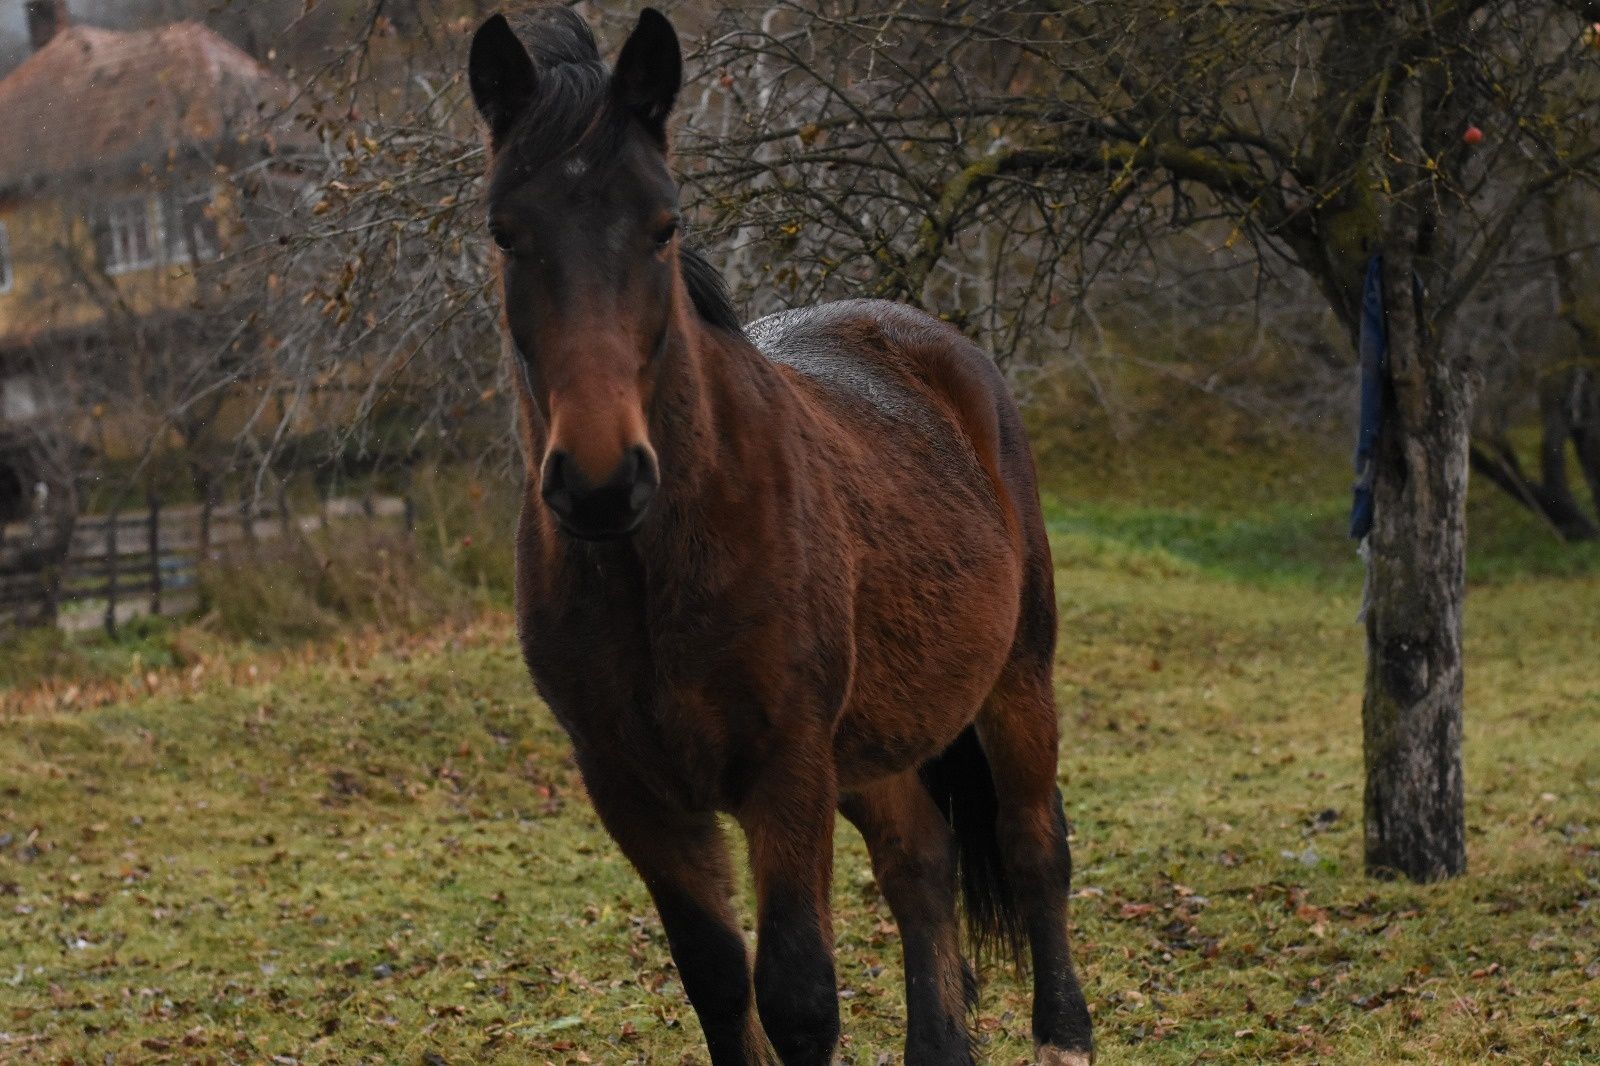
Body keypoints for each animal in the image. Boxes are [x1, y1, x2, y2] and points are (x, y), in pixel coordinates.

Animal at [467, 8, 1094, 1062]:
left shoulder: (787, 767)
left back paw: (1065, 1034)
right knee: (922, 865)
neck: (661, 567)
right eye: (506, 232)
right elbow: (720, 983)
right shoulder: (631, 789)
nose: (600, 482)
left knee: (1033, 845)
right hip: (874, 744)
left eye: (665, 225)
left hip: (1016, 680)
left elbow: (799, 996)